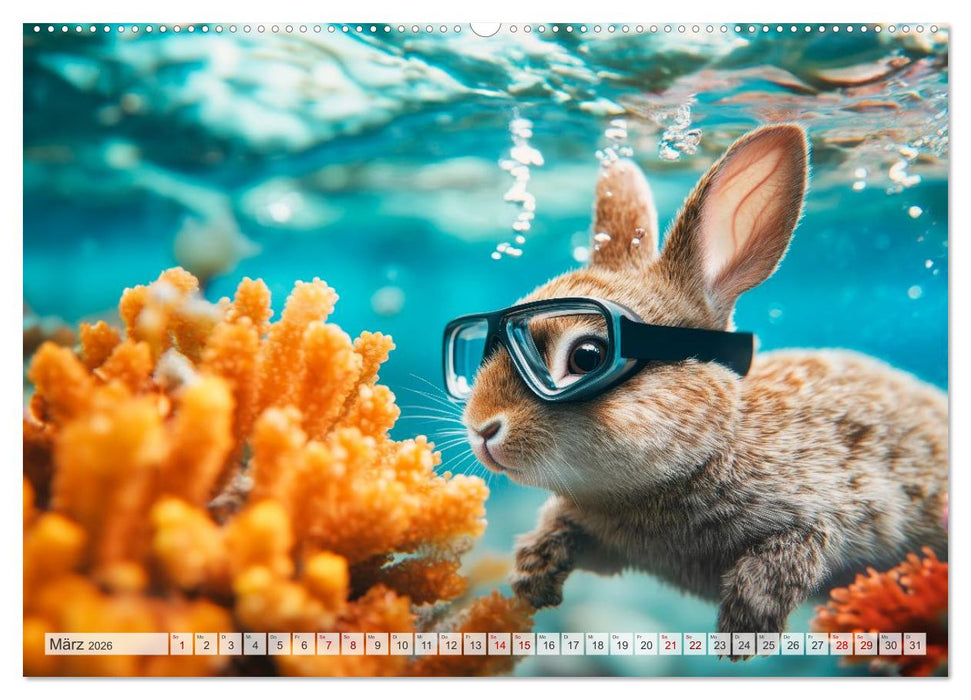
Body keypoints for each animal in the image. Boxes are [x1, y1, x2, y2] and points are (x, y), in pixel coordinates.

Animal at [461, 124, 948, 641]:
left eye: (586, 356)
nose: (482, 430)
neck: (711, 450)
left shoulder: (840, 502)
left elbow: (801, 547)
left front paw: (744, 625)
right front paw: (532, 572)